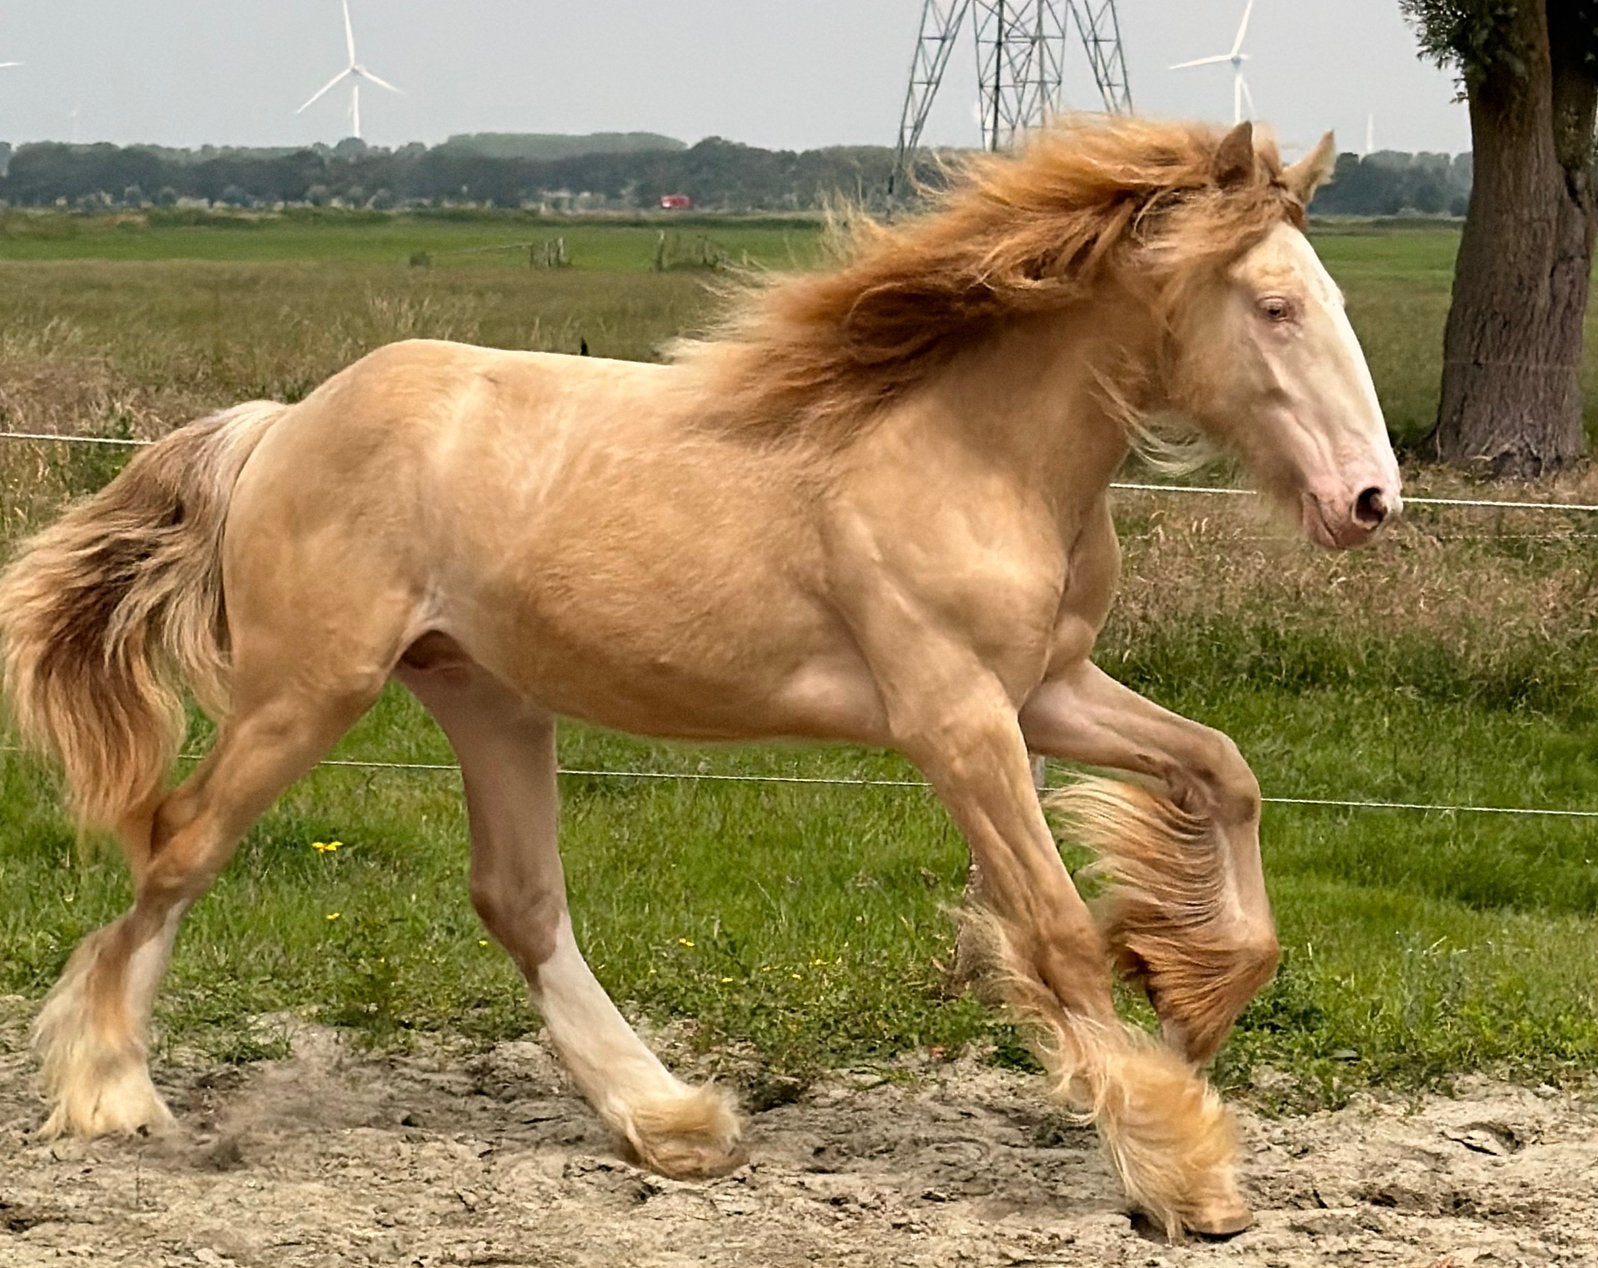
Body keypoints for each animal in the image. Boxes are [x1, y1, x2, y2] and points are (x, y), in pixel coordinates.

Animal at [0, 118, 1399, 1239]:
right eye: (1274, 305)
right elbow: (1055, 929)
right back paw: (110, 1088)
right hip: (311, 688)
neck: (969, 453)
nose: (1368, 501)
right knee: (183, 841)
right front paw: (1180, 1171)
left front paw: (1191, 990)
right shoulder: (956, 721)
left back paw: (668, 1120)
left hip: (483, 692)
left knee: (516, 897)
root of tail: (280, 423)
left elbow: (1224, 772)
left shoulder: (1048, 690)